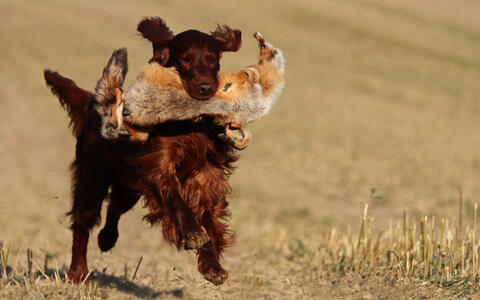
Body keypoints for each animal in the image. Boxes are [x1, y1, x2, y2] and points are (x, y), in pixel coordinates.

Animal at [43, 17, 242, 284]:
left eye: (213, 58)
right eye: (186, 58)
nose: (205, 88)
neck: (188, 123)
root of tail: (94, 104)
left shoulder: (205, 175)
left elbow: (209, 218)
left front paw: (212, 265)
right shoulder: (159, 167)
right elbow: (176, 199)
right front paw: (191, 232)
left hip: (129, 185)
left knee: (115, 208)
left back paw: (107, 239)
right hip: (92, 179)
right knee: (82, 224)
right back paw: (77, 273)